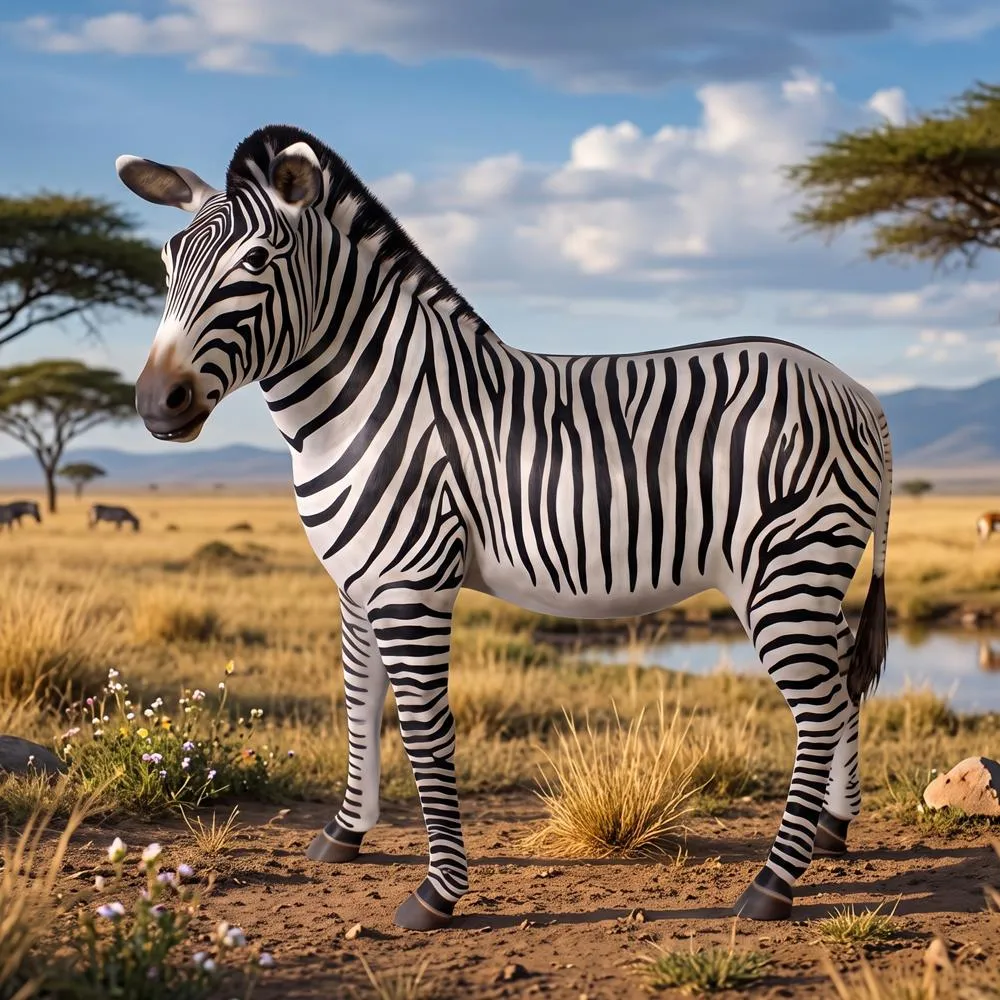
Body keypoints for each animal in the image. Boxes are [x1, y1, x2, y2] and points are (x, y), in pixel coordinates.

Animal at [116, 124, 892, 931]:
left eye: (257, 262)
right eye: (166, 264)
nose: (156, 402)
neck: (365, 405)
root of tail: (860, 393)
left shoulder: (411, 583)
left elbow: (425, 729)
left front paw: (437, 892)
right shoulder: (356, 585)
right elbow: (360, 703)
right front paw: (345, 834)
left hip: (788, 564)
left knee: (820, 703)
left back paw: (774, 883)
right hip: (804, 571)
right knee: (842, 677)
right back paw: (833, 829)